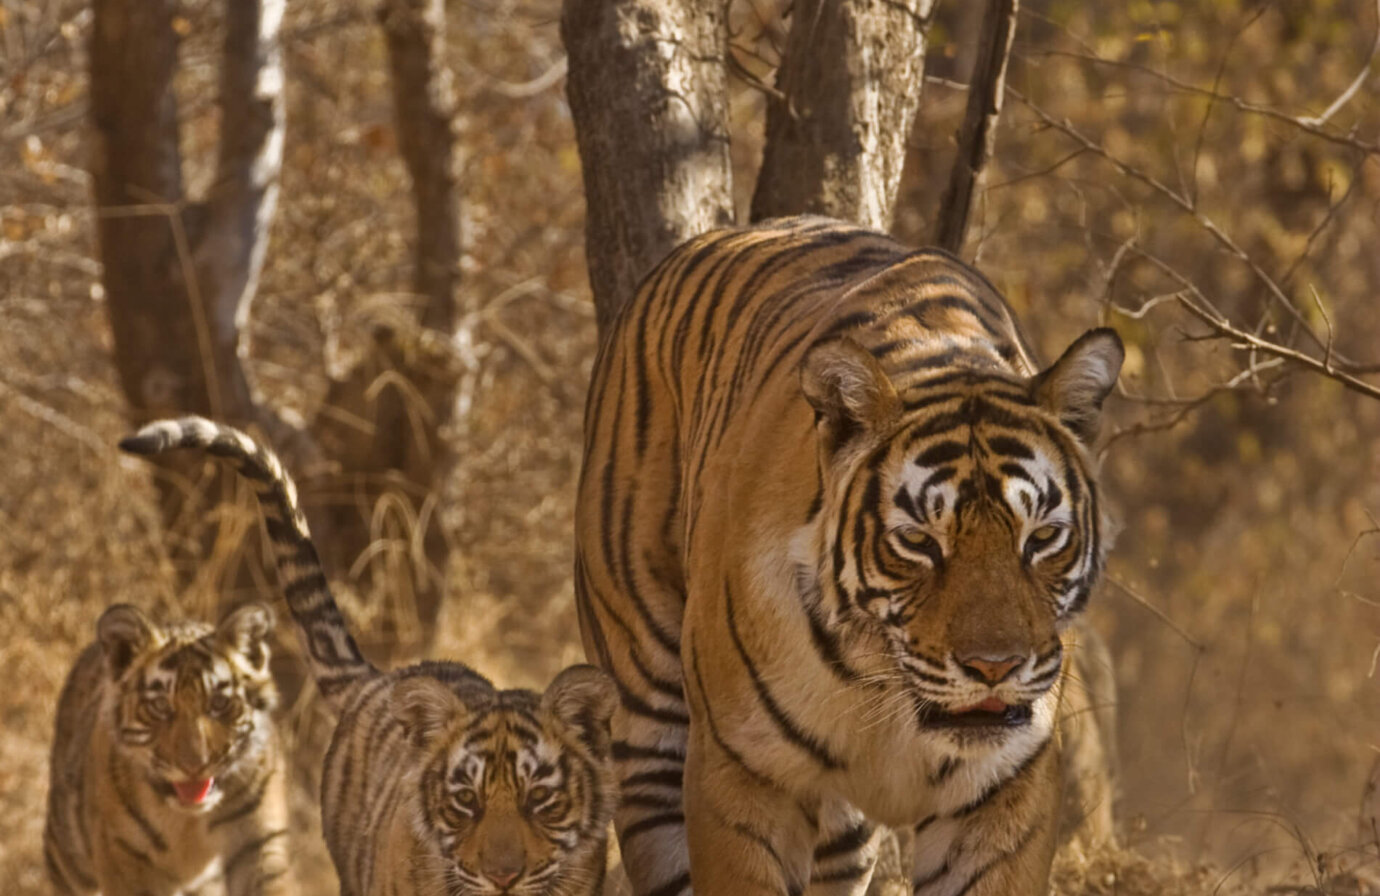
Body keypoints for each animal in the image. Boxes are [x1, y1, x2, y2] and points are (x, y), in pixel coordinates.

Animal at [44, 600, 293, 896]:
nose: (194, 766)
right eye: (160, 706)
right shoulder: (126, 855)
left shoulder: (259, 841)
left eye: (219, 703)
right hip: (69, 853)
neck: (189, 822)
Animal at [573, 216, 1125, 896]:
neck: (883, 690)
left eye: (1041, 537)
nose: (994, 668)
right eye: (920, 542)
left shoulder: (1001, 789)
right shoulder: (745, 775)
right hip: (647, 714)